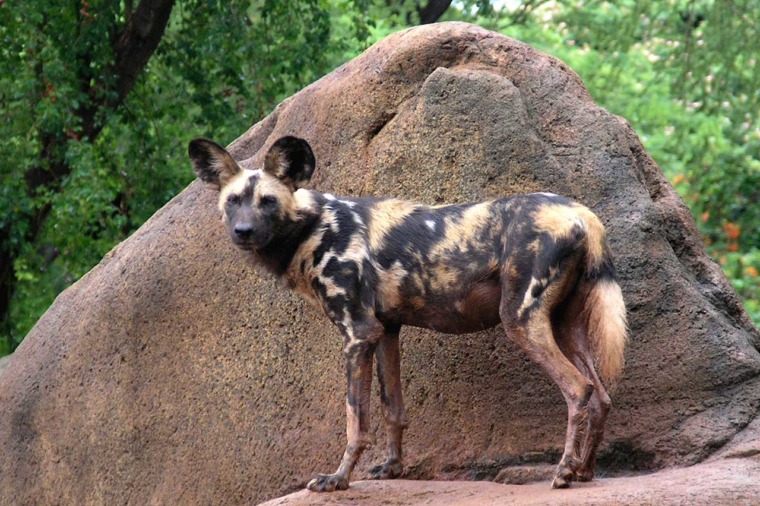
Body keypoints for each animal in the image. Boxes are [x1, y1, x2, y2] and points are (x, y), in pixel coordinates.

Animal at [190, 136, 628, 492]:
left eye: (268, 201)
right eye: (233, 201)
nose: (243, 231)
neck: (313, 228)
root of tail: (581, 213)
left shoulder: (357, 334)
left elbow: (356, 421)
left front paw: (338, 479)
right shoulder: (385, 331)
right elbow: (393, 411)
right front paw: (392, 468)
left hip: (520, 321)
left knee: (579, 390)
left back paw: (563, 472)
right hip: (563, 326)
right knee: (602, 395)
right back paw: (585, 472)